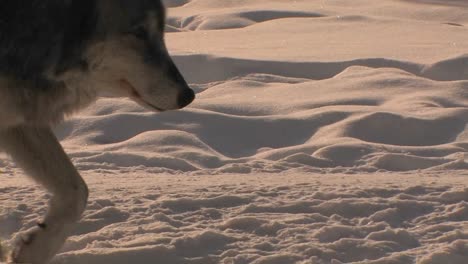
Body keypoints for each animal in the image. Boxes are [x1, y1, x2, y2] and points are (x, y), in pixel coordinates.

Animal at [0, 1, 195, 262]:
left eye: (162, 31)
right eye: (140, 32)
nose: (188, 95)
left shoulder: (18, 120)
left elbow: (78, 192)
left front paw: (33, 250)